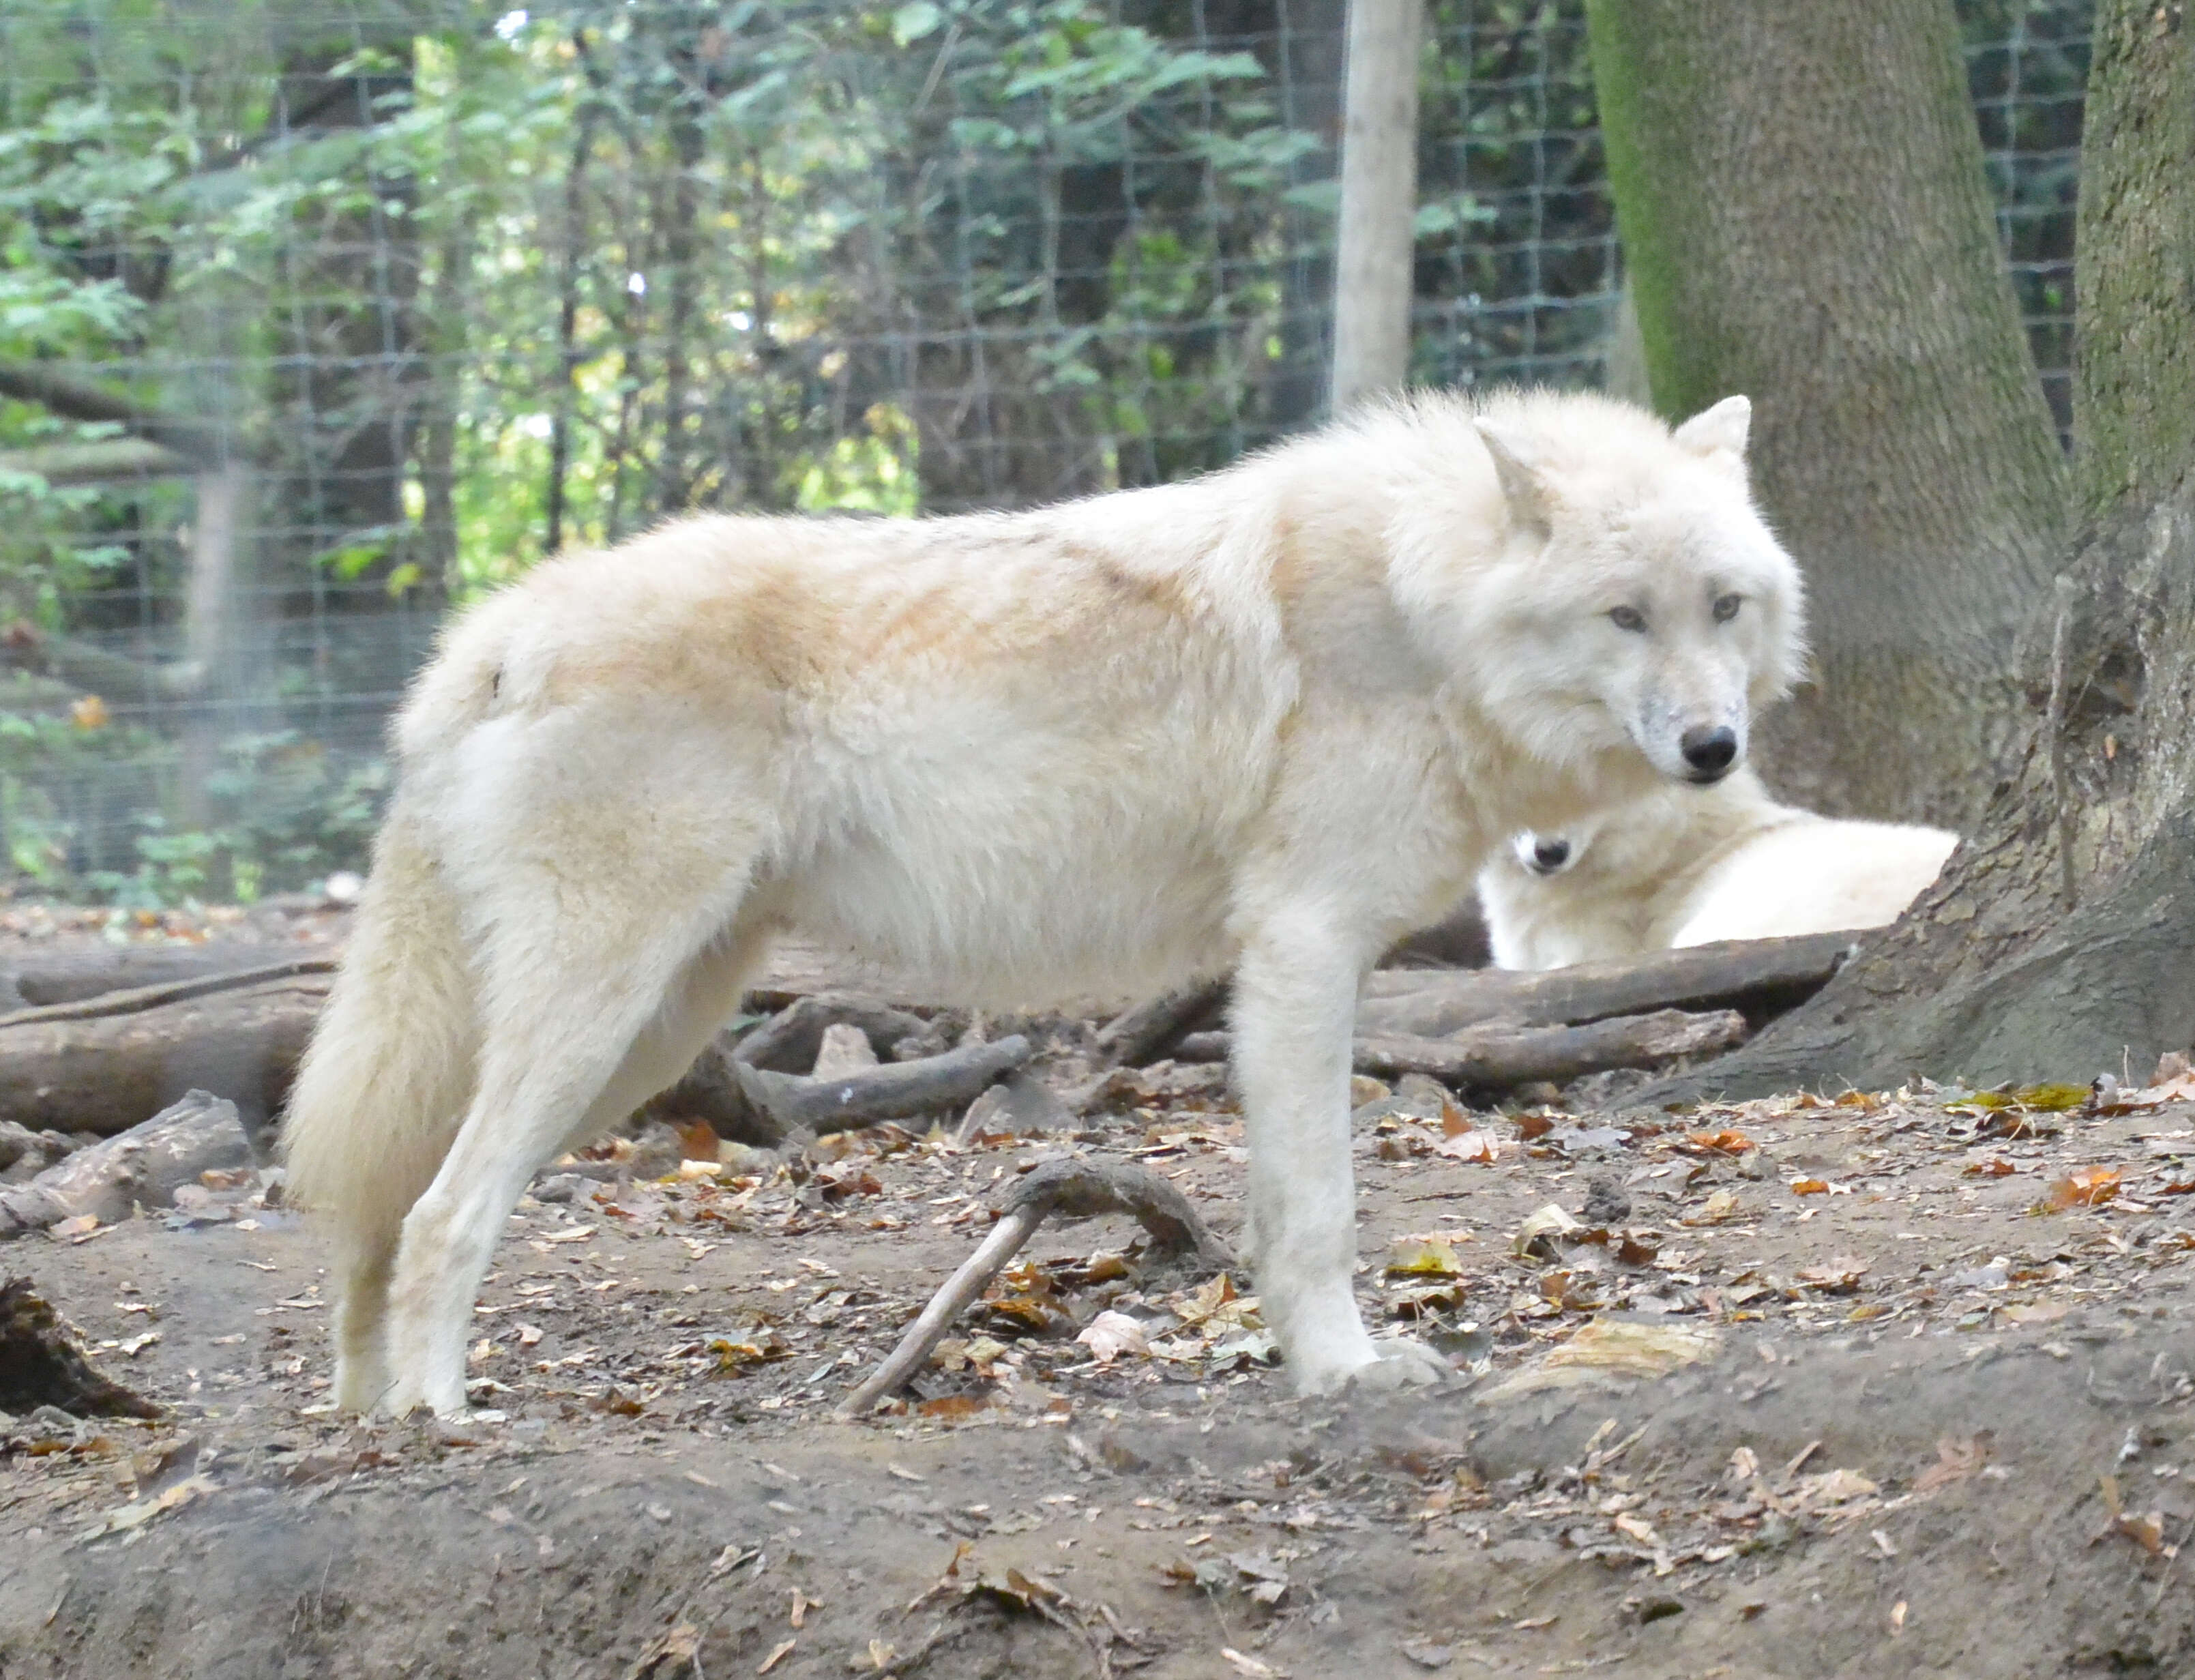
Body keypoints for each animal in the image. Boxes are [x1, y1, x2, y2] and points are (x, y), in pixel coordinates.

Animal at [278, 384, 1799, 1414]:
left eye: (1721, 606)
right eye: (1621, 616)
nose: (1712, 746)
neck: (1419, 606)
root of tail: (490, 630)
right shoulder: (1304, 944)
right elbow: (1315, 1206)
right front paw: (1342, 1371)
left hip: (646, 1034)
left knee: (382, 1212)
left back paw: (370, 1417)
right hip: (600, 1019)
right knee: (441, 1216)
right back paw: (439, 1415)